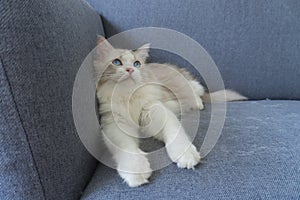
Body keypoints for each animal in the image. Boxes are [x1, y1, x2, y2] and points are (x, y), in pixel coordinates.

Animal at [94, 35, 246, 187]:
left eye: (136, 64)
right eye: (116, 62)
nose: (130, 69)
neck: (128, 96)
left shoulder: (158, 110)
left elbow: (176, 134)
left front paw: (186, 155)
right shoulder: (115, 124)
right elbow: (127, 149)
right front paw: (136, 171)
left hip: (189, 85)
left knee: (197, 91)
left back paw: (198, 104)